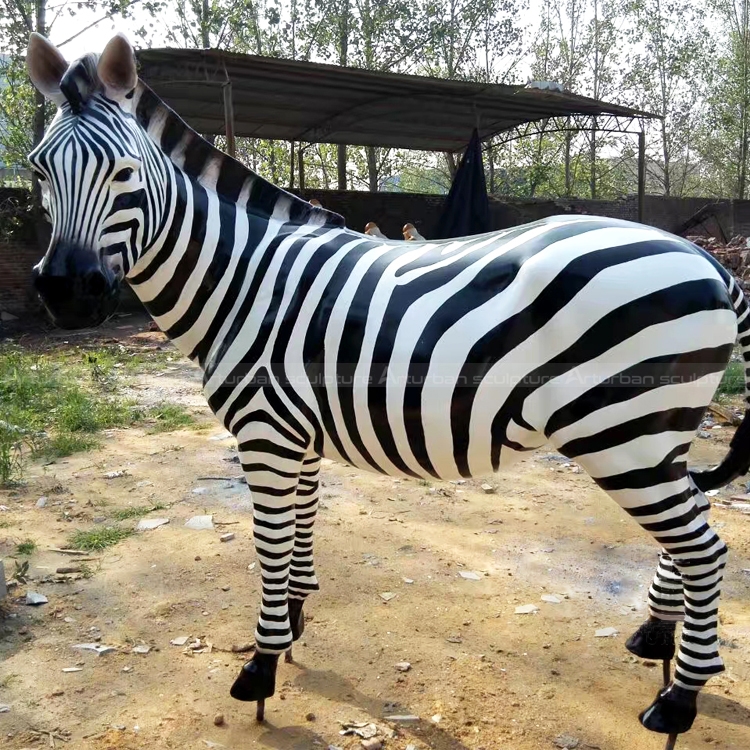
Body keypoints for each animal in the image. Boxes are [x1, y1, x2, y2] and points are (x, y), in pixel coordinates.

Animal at [26, 32, 750, 746]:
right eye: (37, 170)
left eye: (125, 172)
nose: (66, 293)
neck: (243, 280)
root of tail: (707, 260)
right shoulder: (298, 433)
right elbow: (302, 526)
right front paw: (293, 626)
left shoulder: (264, 432)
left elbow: (269, 544)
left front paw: (260, 669)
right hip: (659, 432)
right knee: (691, 529)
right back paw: (655, 635)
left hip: (620, 431)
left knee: (705, 549)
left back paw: (679, 700)